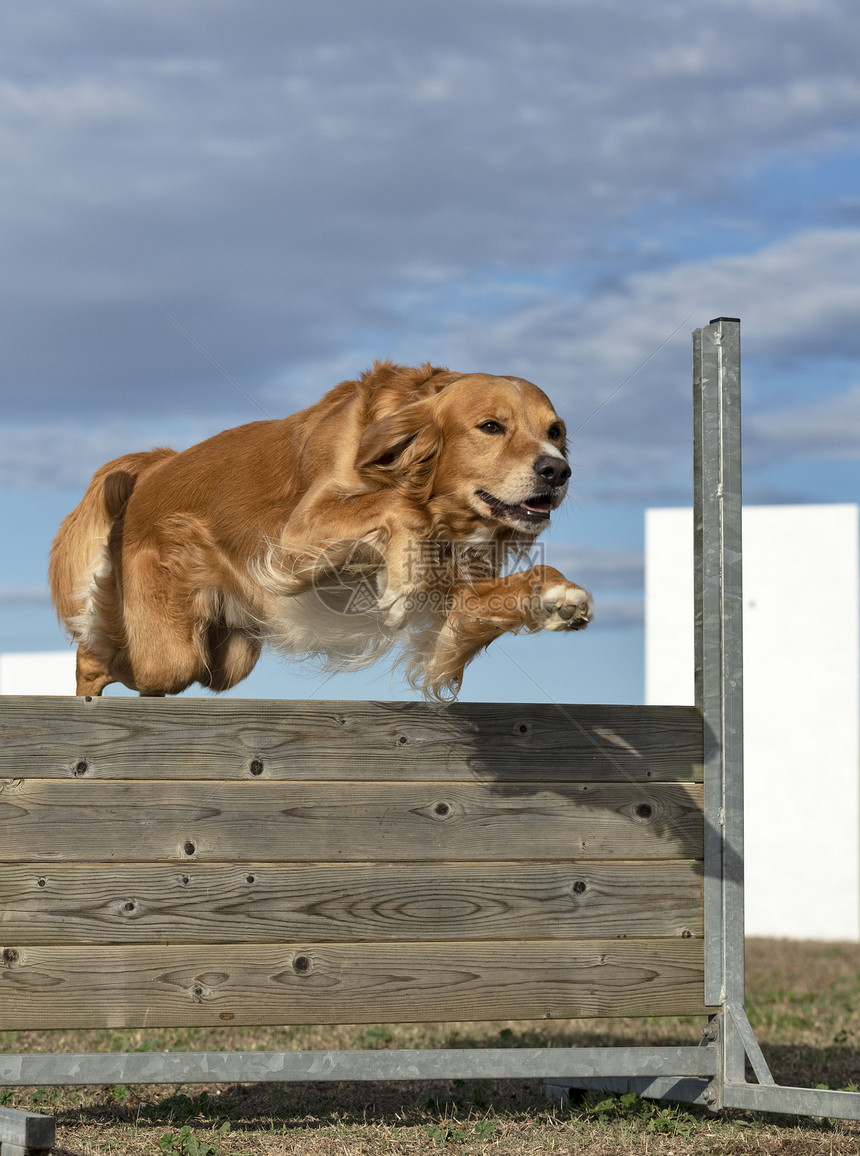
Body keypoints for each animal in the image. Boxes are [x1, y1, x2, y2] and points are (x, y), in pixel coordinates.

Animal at [48, 358, 591, 693]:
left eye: (555, 431)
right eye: (491, 427)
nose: (557, 470)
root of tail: (153, 468)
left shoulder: (454, 605)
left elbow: (506, 591)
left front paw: (558, 596)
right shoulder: (294, 537)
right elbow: (399, 508)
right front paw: (401, 581)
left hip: (226, 658)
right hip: (169, 655)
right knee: (95, 655)